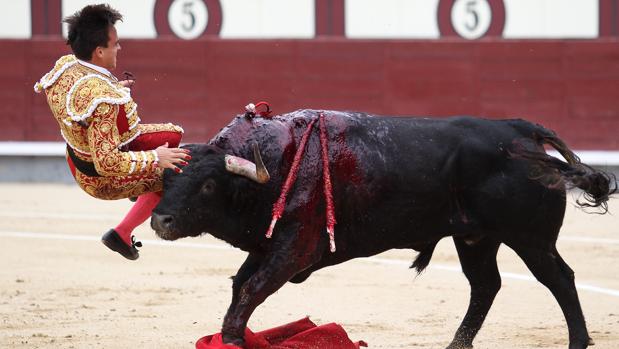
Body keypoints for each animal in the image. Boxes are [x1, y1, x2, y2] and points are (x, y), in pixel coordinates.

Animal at [150, 109, 616, 348]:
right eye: (166, 182)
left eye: (208, 185)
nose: (160, 220)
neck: (277, 165)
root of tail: (520, 131)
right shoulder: (268, 247)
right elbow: (240, 286)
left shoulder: (295, 248)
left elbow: (251, 289)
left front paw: (231, 339)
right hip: (476, 238)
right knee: (486, 286)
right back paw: (456, 345)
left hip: (530, 237)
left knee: (559, 278)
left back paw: (578, 341)